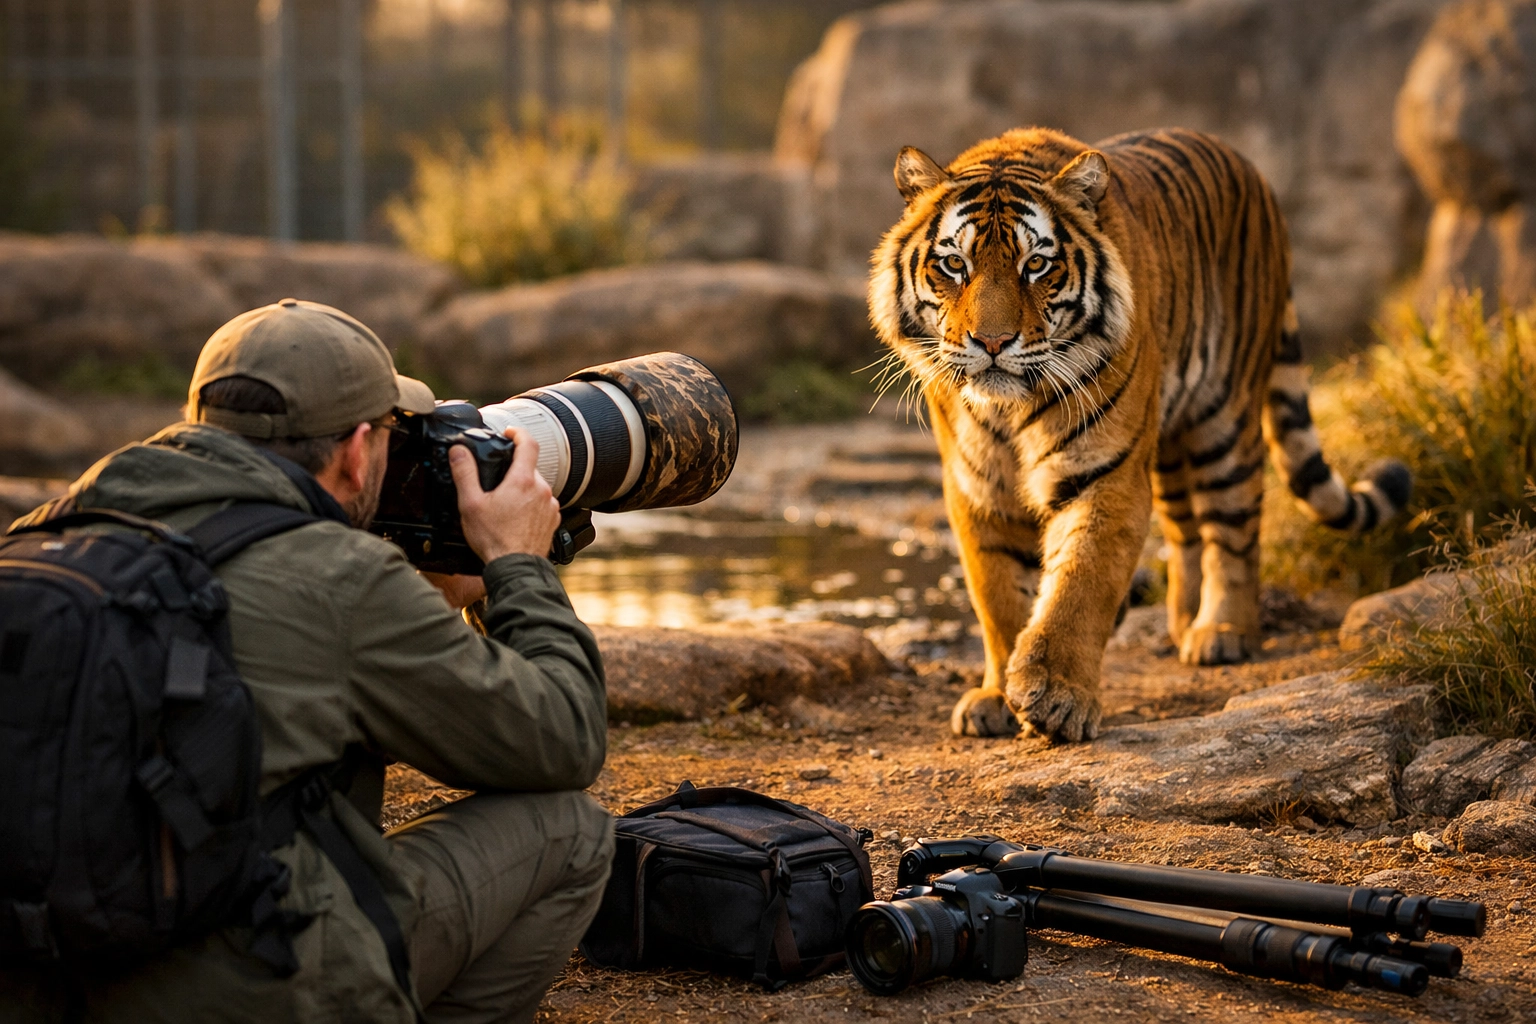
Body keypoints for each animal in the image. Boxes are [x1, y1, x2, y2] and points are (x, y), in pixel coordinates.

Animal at [869, 127, 1410, 743]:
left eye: (1037, 265)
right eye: (954, 264)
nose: (993, 341)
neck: (1009, 412)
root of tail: (1246, 164)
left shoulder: (1104, 474)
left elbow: (1081, 583)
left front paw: (1057, 697)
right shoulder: (978, 489)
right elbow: (998, 597)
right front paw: (995, 697)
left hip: (1225, 422)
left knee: (1234, 530)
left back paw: (1222, 631)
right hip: (1170, 440)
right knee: (1185, 529)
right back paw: (1184, 621)